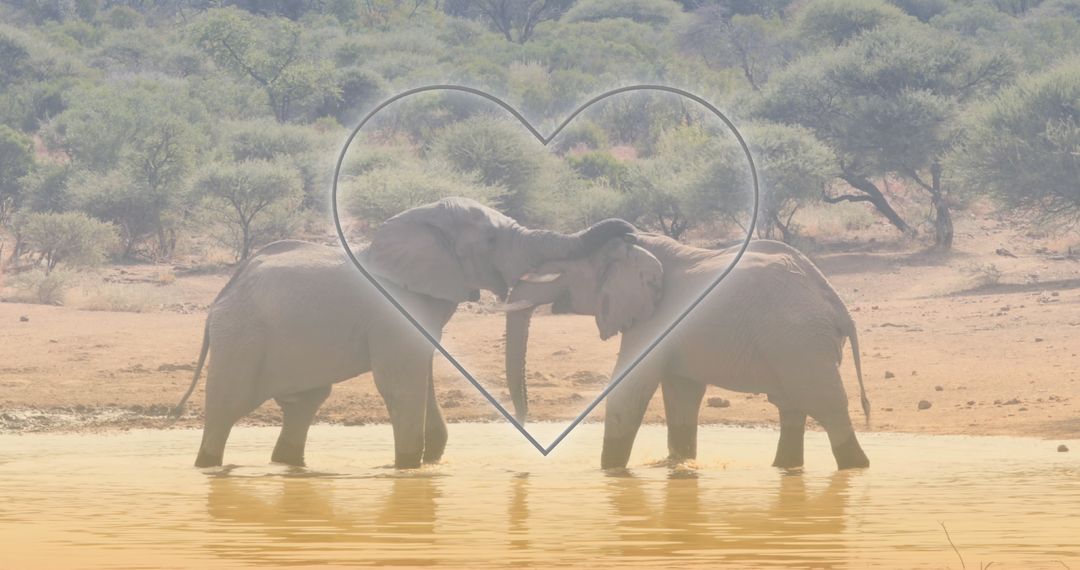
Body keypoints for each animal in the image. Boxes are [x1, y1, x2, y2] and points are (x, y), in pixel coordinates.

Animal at [173, 197, 633, 469]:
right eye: (489, 239)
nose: (629, 231)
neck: (419, 219)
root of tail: (222, 294)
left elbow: (420, 373)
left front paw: (427, 465)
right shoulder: (392, 312)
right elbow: (400, 384)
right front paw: (409, 467)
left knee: (303, 406)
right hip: (242, 339)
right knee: (227, 408)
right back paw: (208, 466)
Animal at [503, 234, 871, 470]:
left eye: (561, 272)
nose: (522, 421)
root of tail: (838, 306)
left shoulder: (657, 318)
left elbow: (629, 391)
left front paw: (611, 472)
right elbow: (681, 394)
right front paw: (679, 466)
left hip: (799, 341)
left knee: (826, 406)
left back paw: (856, 466)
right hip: (797, 343)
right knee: (792, 407)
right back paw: (785, 468)